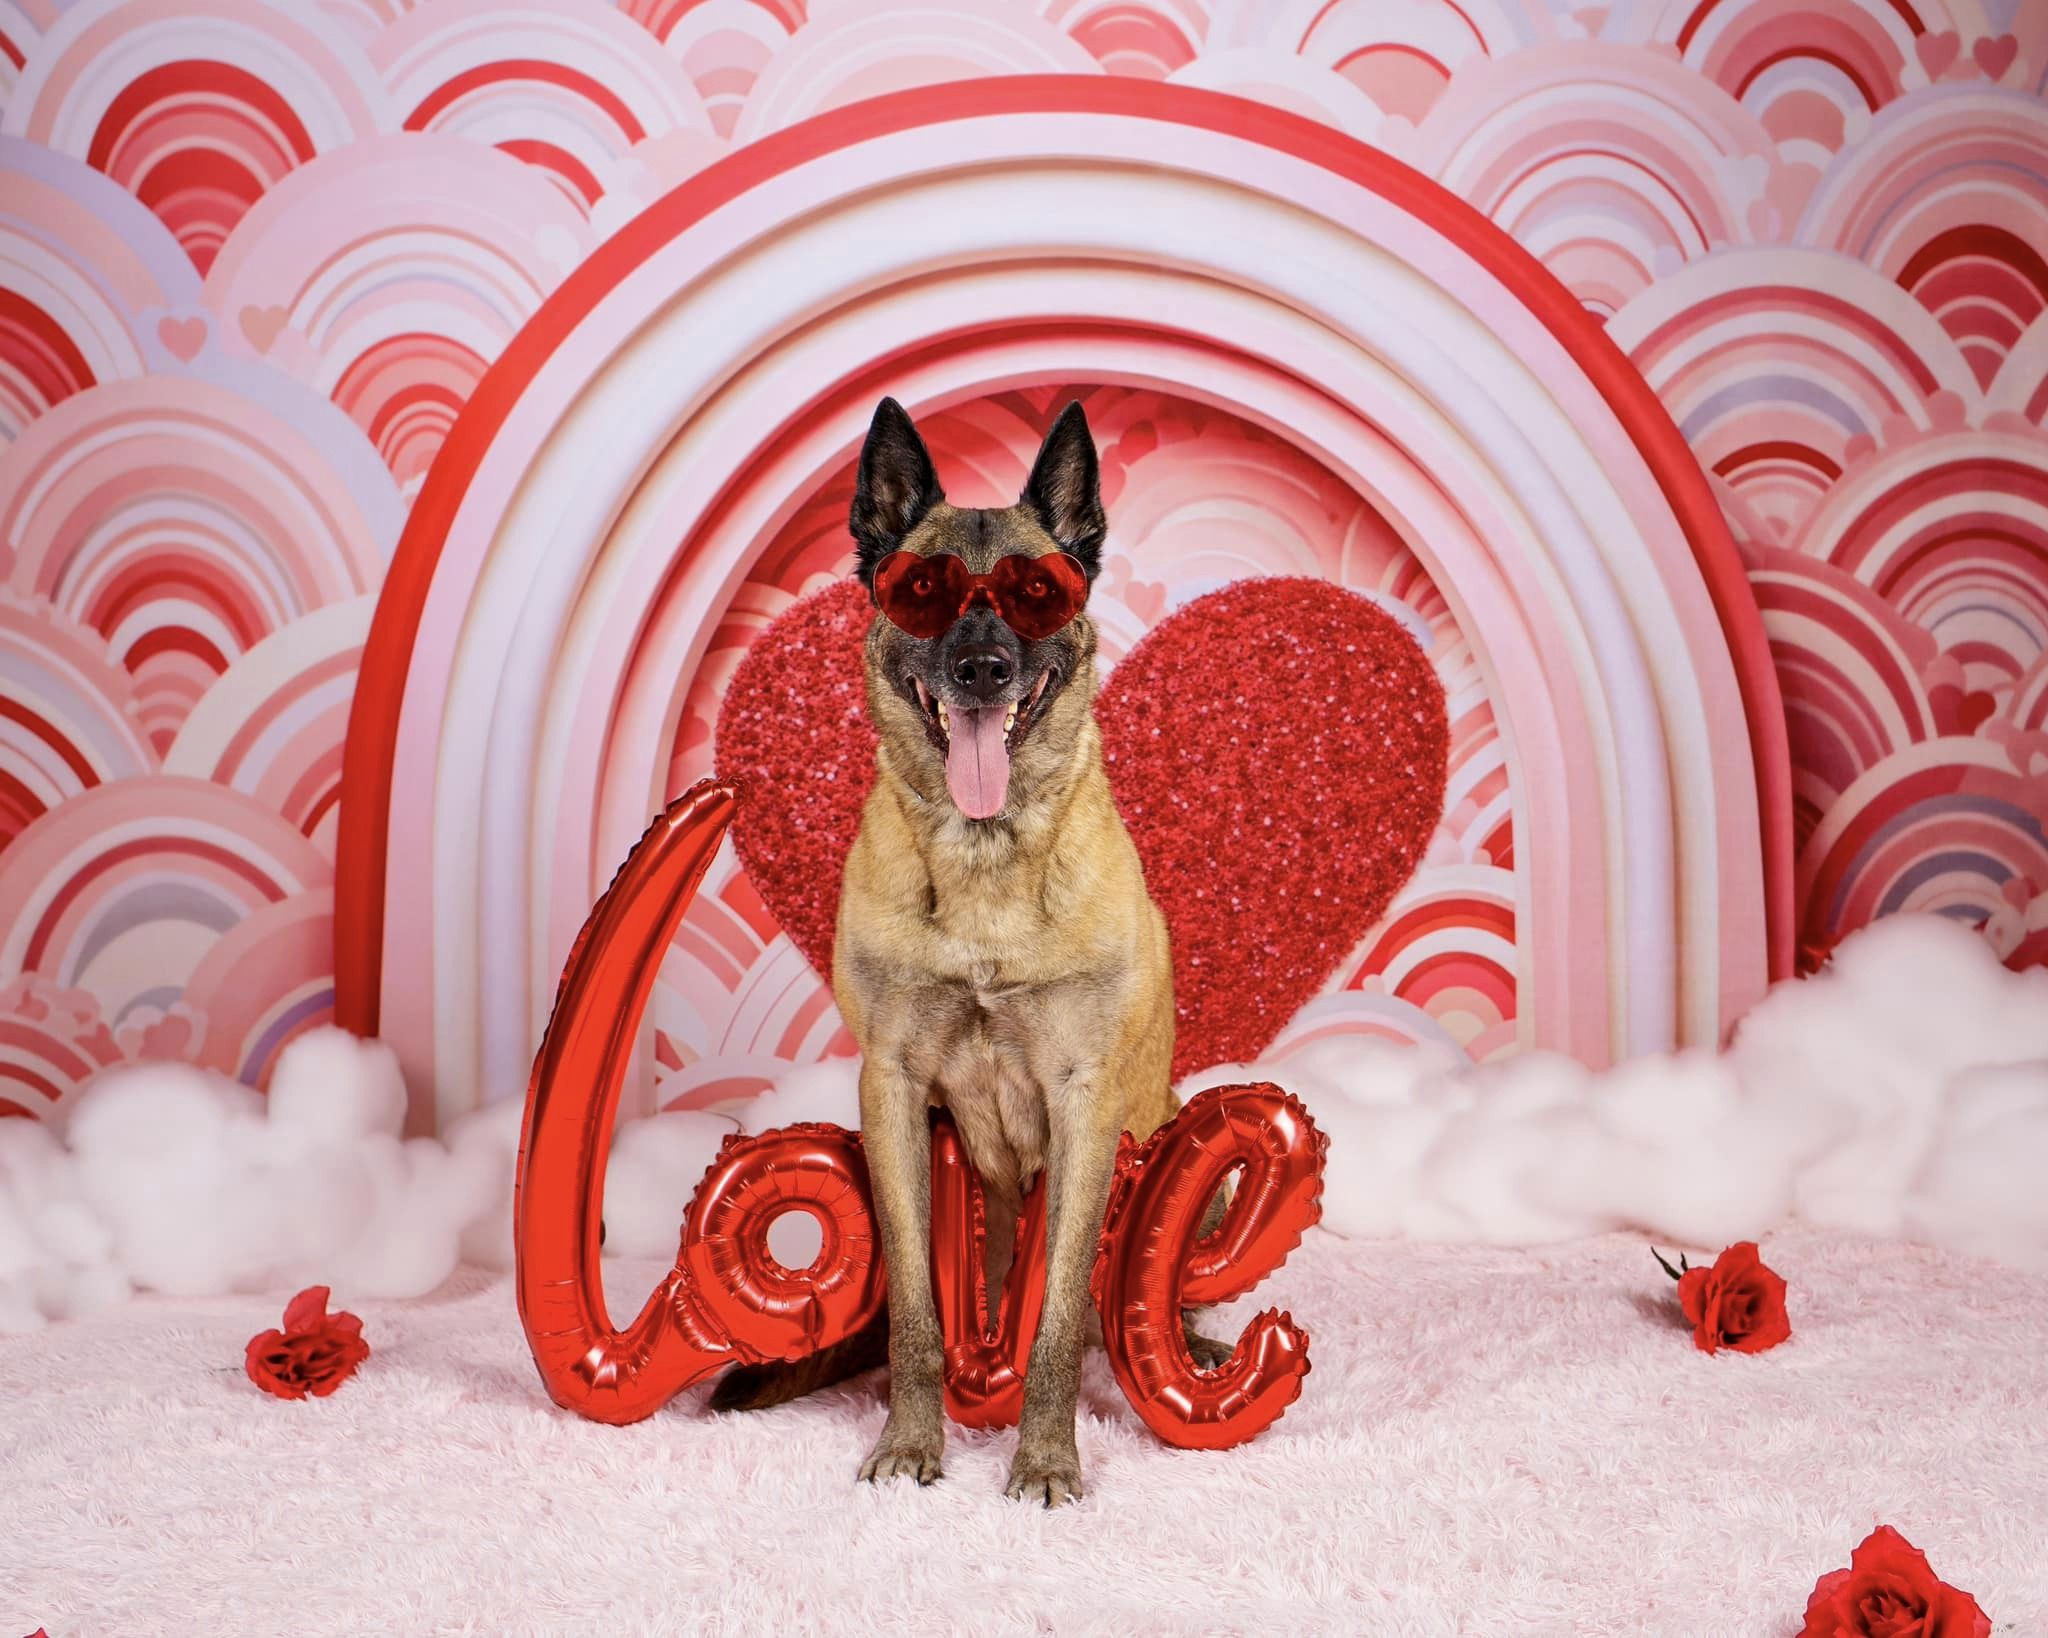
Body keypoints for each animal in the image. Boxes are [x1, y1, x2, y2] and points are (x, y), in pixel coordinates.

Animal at [712, 399, 1212, 1506]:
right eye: (923, 593)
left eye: (1035, 595)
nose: (983, 670)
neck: (984, 860)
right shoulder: (892, 1094)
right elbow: (913, 1308)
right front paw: (909, 1440)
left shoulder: (1083, 1105)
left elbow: (1058, 1318)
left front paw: (1046, 1457)